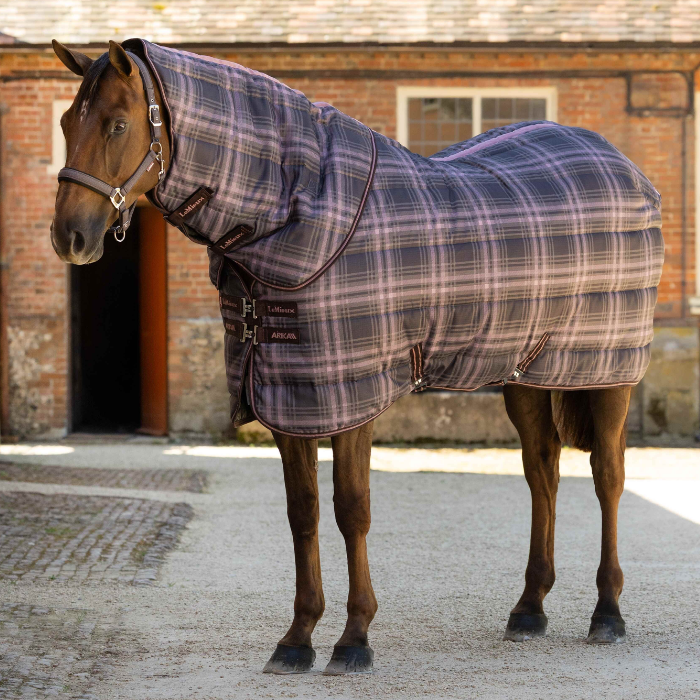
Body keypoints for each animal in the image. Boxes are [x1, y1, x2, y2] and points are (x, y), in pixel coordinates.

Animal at [50, 39, 661, 675]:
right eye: (68, 122)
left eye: (119, 124)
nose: (70, 236)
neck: (302, 215)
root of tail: (625, 169)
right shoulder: (288, 396)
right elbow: (303, 511)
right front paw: (297, 638)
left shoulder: (350, 397)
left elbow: (351, 509)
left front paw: (354, 638)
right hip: (526, 372)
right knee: (543, 471)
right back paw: (529, 608)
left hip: (609, 375)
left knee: (608, 477)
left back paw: (608, 613)